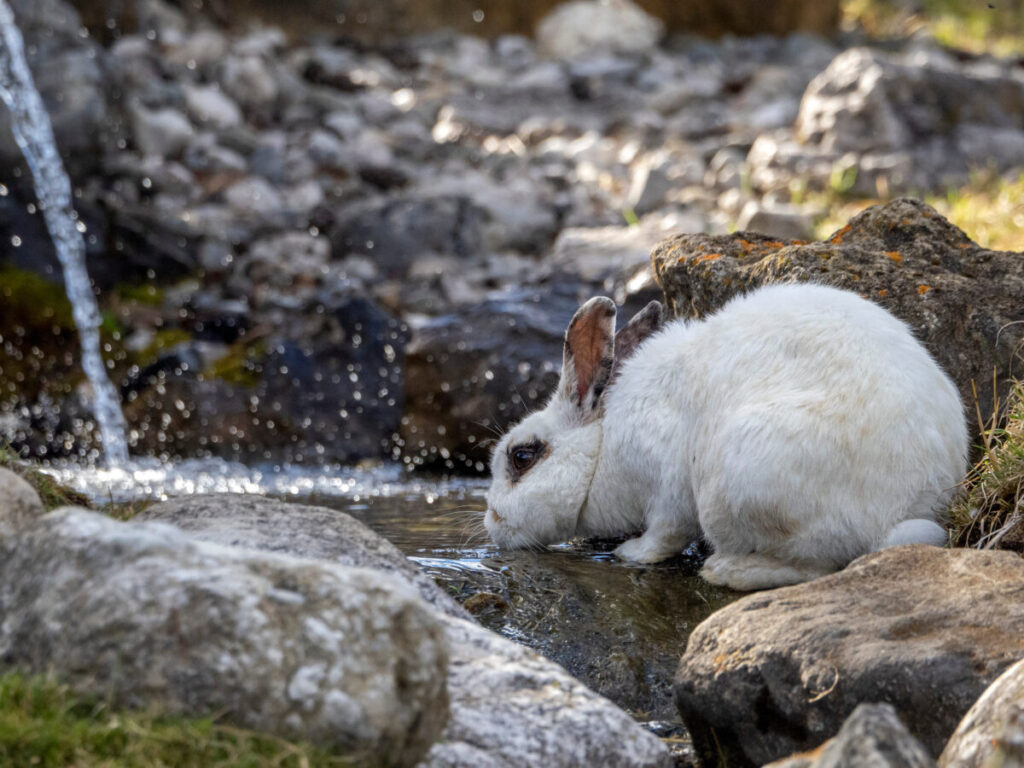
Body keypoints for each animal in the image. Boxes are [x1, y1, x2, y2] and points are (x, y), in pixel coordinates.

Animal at [485, 286, 966, 593]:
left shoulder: (669, 483)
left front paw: (631, 553)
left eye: (522, 456)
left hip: (737, 483)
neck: (603, 442)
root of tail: (912, 505)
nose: (491, 522)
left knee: (818, 567)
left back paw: (726, 570)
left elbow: (665, 534)